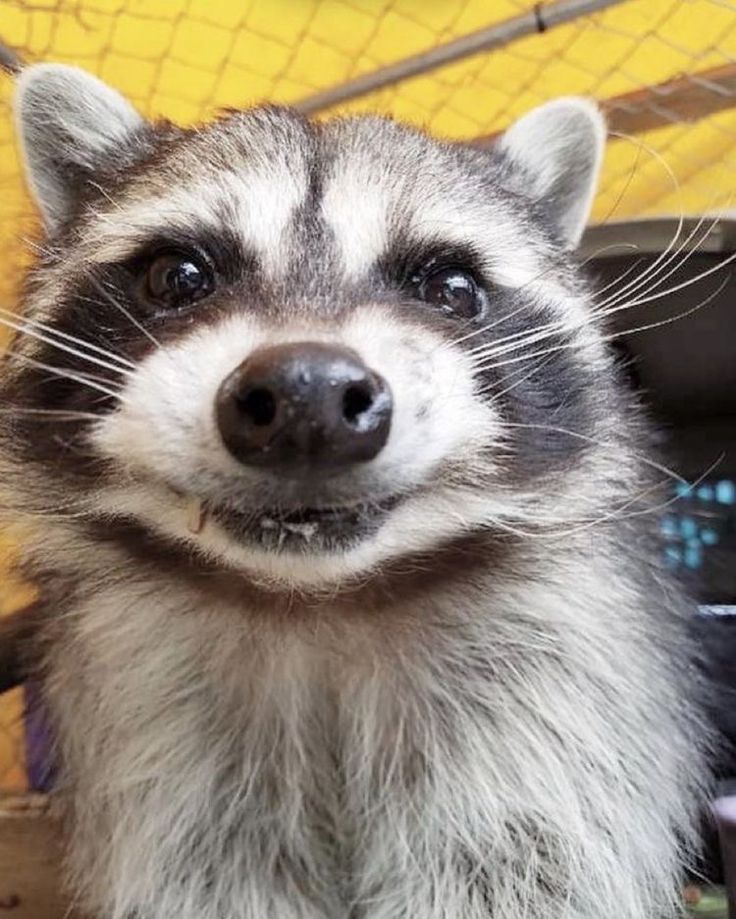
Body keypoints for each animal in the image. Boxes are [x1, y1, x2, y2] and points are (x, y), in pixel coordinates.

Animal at [1, 64, 712, 919]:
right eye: (179, 276)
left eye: (451, 287)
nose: (305, 396)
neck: (320, 599)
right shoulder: (157, 706)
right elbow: (211, 866)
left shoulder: (548, 682)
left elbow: (522, 860)